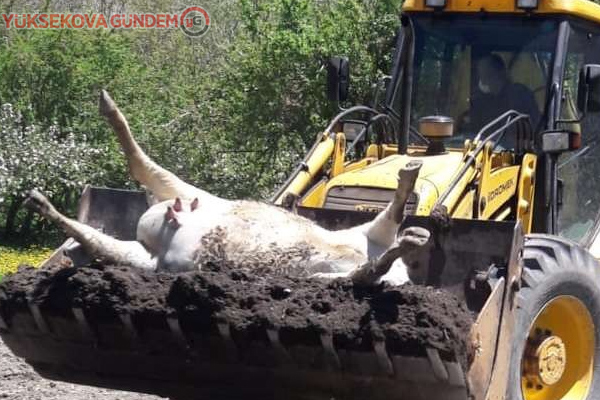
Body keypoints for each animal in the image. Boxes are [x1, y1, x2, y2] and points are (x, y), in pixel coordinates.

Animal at [25, 91, 432, 284]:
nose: (173, 209)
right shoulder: (152, 253)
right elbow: (97, 237)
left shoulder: (166, 228)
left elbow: (134, 172)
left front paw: (41, 204)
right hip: (348, 251)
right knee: (376, 257)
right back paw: (409, 218)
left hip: (336, 261)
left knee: (371, 266)